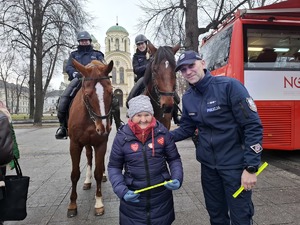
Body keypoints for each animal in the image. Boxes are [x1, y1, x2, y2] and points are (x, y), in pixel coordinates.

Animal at [67, 59, 113, 217]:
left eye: (111, 92)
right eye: (87, 95)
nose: (103, 128)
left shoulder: (101, 143)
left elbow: (98, 172)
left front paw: (98, 203)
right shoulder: (74, 145)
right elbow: (74, 174)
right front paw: (72, 205)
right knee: (88, 157)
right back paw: (87, 181)